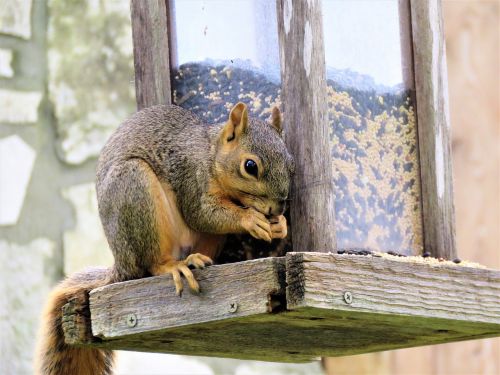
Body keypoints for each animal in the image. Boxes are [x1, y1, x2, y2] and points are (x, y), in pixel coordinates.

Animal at [36, 103, 292, 375]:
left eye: (291, 164)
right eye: (250, 166)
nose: (277, 209)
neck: (210, 154)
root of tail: (121, 265)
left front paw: (280, 225)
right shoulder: (192, 178)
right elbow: (202, 214)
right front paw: (250, 219)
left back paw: (197, 260)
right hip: (135, 187)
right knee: (152, 264)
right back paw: (175, 266)